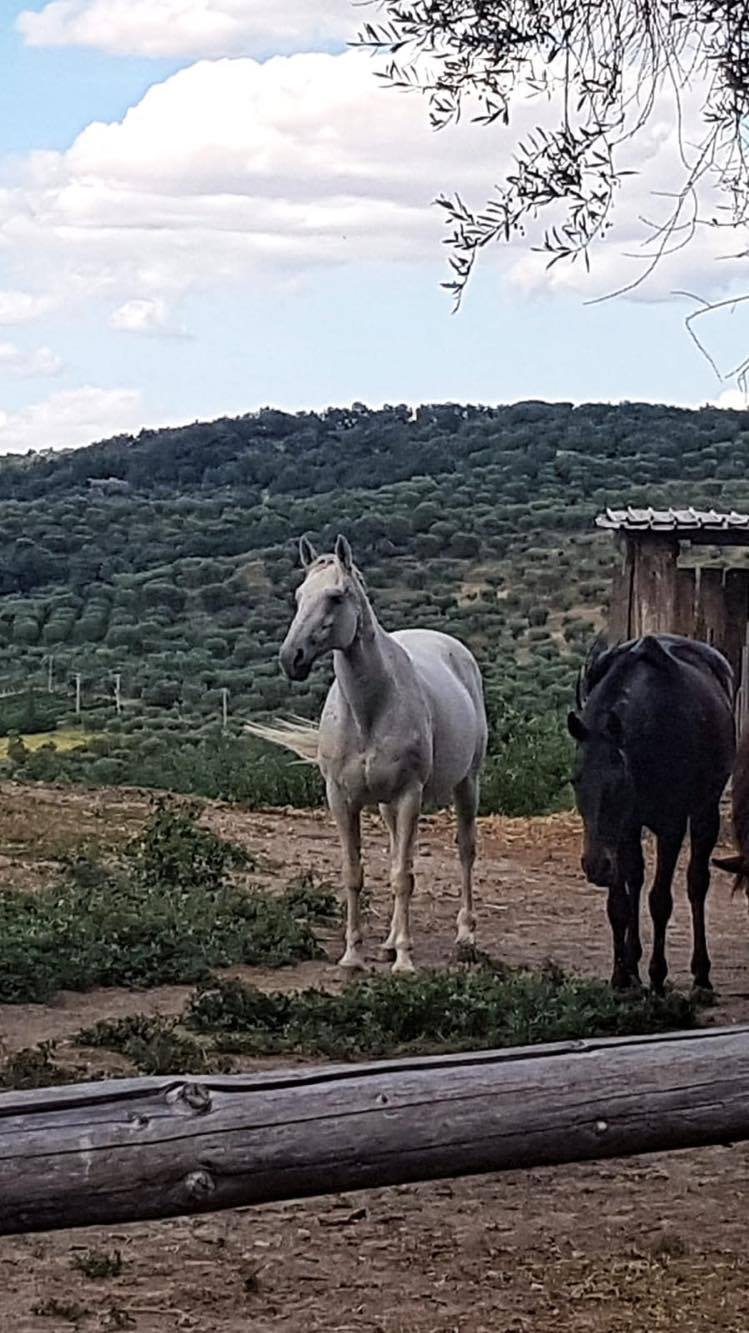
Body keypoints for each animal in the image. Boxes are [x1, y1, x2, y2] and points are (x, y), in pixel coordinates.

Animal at [247, 535, 487, 975]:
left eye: (336, 596)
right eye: (299, 595)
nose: (292, 658)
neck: (370, 710)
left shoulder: (409, 795)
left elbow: (402, 877)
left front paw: (405, 961)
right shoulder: (343, 799)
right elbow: (355, 873)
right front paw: (353, 955)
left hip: (466, 783)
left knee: (465, 850)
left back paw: (465, 935)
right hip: (388, 805)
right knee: (397, 852)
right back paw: (389, 942)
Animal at [567, 631, 730, 991]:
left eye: (618, 782)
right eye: (575, 779)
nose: (594, 865)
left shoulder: (671, 826)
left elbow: (660, 900)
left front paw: (657, 975)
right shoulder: (624, 827)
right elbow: (620, 903)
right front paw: (621, 975)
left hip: (705, 810)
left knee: (696, 883)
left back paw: (701, 974)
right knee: (636, 880)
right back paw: (633, 964)